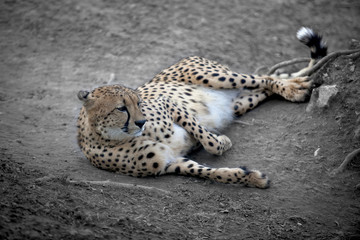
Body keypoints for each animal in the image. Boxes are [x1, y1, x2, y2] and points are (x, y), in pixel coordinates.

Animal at [77, 27, 328, 189]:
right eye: (121, 108)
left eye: (138, 102)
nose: (141, 122)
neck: (116, 137)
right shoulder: (170, 162)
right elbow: (211, 173)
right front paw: (251, 177)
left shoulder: (169, 104)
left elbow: (208, 140)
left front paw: (222, 142)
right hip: (239, 103)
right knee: (263, 88)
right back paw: (295, 85)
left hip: (216, 76)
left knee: (264, 77)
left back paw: (293, 88)